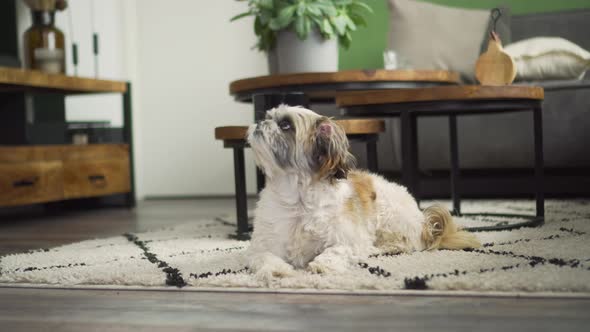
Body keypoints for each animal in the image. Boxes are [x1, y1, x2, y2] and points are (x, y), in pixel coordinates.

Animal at [245, 105, 480, 278]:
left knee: (407, 243)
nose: (260, 122)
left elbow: (336, 250)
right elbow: (264, 256)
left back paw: (382, 249)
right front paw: (276, 269)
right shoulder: (261, 245)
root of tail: (424, 222)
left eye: (285, 125)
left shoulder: (349, 240)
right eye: (267, 116)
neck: (296, 197)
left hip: (389, 214)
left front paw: (322, 264)